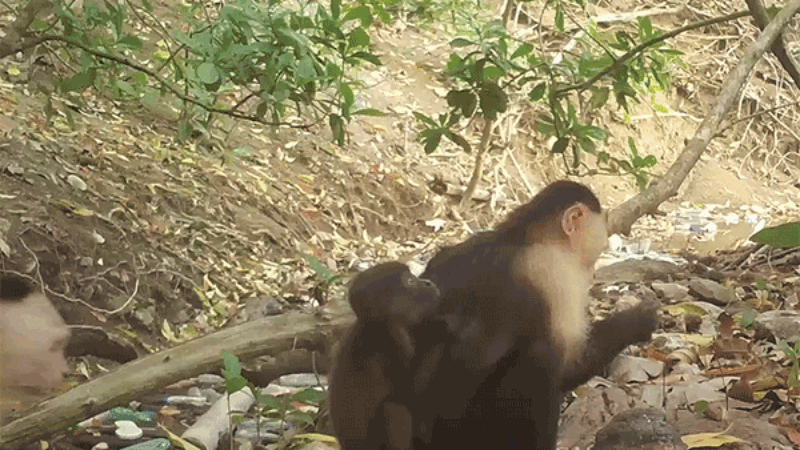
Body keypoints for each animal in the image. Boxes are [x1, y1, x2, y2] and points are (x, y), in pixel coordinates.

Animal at [329, 261, 448, 450]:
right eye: (410, 281)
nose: (428, 282)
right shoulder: (395, 334)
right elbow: (411, 392)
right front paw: (438, 330)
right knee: (393, 409)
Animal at [409, 180, 659, 449]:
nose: (593, 274)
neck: (521, 237)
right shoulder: (556, 272)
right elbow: (570, 364)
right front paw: (638, 320)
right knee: (542, 358)